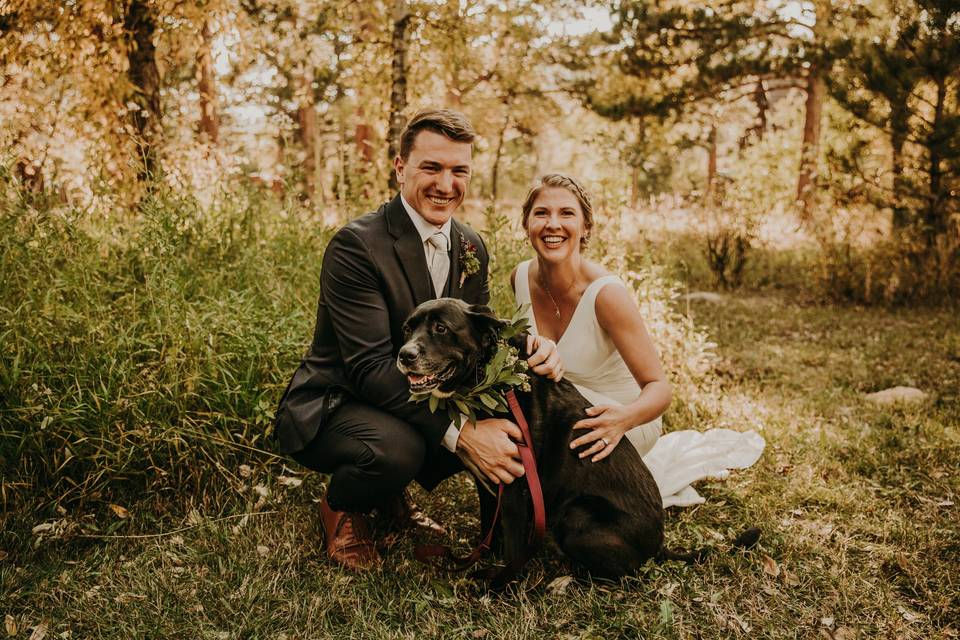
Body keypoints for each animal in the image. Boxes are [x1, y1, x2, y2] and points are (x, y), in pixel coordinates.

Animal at [402, 298, 672, 576]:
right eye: (407, 329)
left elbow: (512, 546)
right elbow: (490, 525)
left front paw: (500, 581)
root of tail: (658, 547)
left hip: (576, 516)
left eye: (441, 328)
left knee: (623, 570)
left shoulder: (515, 486)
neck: (489, 376)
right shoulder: (489, 477)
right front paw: (484, 559)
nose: (404, 355)